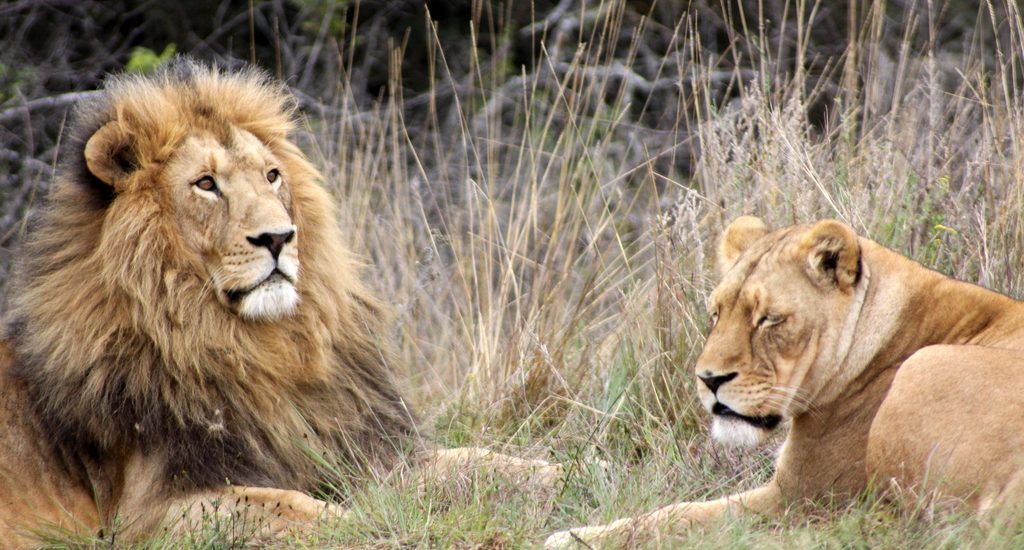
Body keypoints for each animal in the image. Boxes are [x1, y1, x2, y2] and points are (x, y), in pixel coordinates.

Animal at [0, 61, 557, 544]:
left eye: (271, 175)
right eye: (206, 184)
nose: (278, 237)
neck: (263, 350)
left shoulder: (359, 446)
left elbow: (479, 462)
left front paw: (560, 471)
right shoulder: (148, 514)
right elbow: (292, 506)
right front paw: (367, 523)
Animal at [552, 216, 1024, 544]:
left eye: (769, 319)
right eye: (716, 313)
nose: (709, 379)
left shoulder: (799, 497)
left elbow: (675, 515)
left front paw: (573, 536)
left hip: (922, 373)